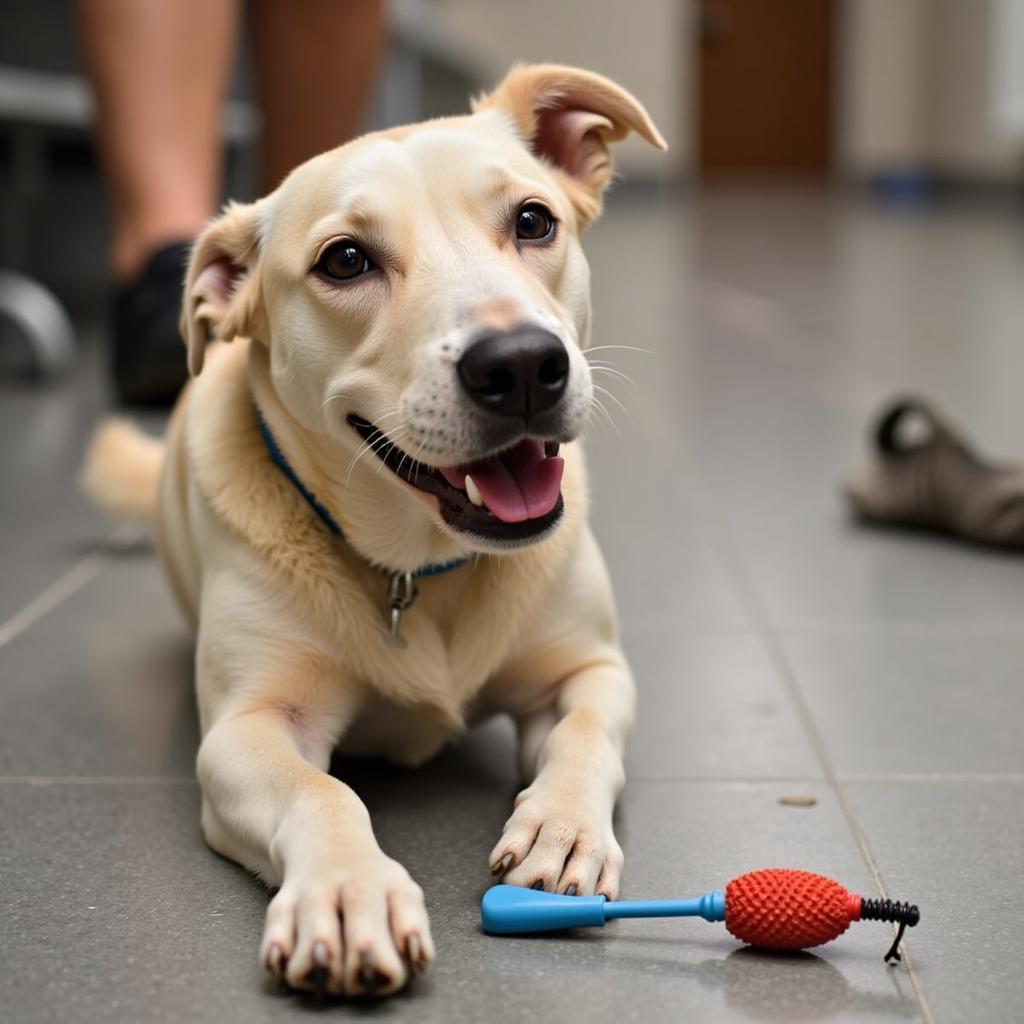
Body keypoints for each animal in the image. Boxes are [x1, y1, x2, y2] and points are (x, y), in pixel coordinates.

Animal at [83, 66, 667, 999]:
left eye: (533, 220)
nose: (520, 366)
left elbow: (583, 737)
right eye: (346, 260)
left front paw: (562, 826)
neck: (419, 570)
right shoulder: (248, 729)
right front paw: (349, 892)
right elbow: (323, 794)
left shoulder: (588, 670)